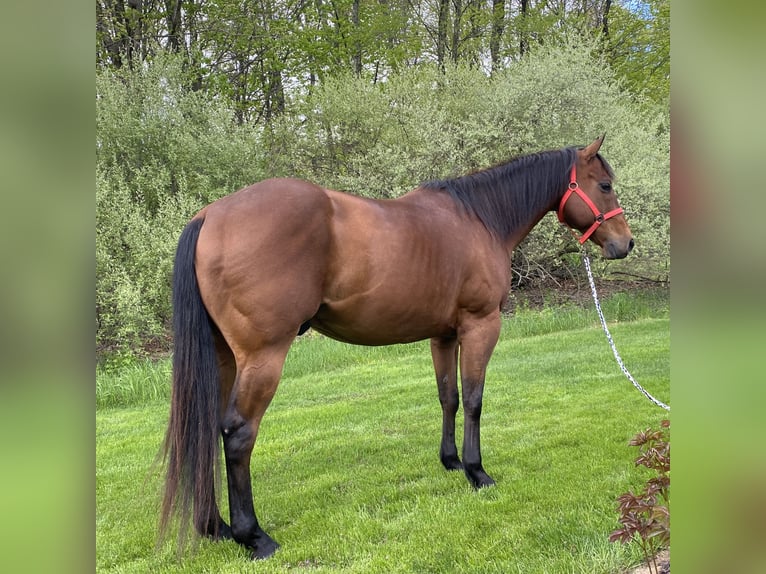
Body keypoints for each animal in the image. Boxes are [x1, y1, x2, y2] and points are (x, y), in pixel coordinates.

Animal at [159, 136, 632, 564]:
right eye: (605, 184)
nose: (625, 244)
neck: (480, 219)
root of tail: (209, 216)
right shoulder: (481, 326)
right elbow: (474, 399)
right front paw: (477, 472)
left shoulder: (444, 335)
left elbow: (449, 397)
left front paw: (451, 462)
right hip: (263, 357)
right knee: (238, 433)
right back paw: (253, 536)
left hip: (222, 357)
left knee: (205, 426)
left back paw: (215, 527)